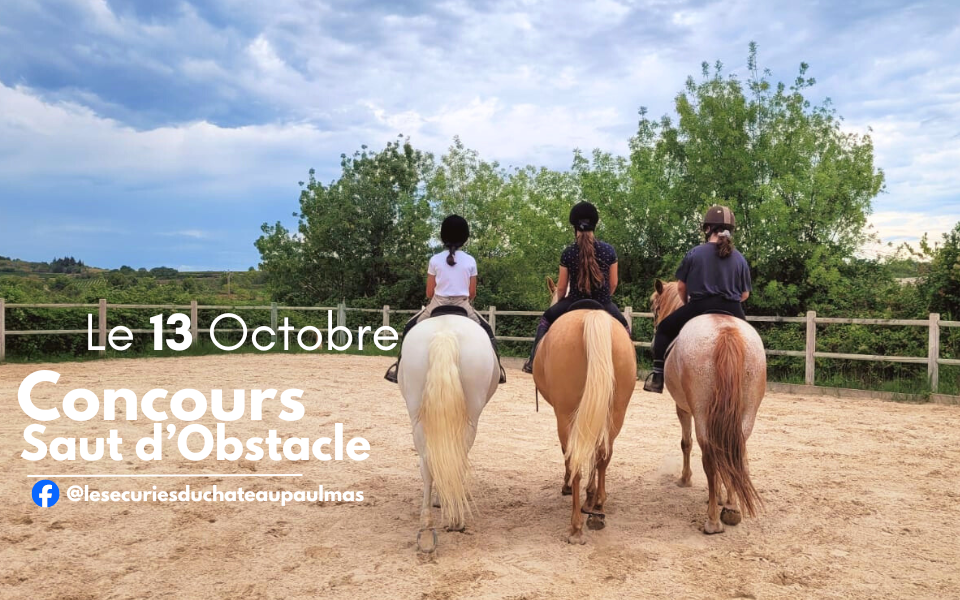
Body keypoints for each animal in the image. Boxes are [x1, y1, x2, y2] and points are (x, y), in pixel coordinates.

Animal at [400, 314, 498, 552]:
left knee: (429, 464)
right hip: (470, 420)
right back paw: (454, 519)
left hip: (417, 417)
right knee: (456, 458)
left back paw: (427, 527)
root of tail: (445, 334)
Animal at [532, 276, 636, 544]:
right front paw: (591, 496)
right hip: (616, 411)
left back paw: (576, 525)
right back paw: (597, 509)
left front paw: (570, 487)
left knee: (575, 455)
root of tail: (593, 317)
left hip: (566, 414)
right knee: (602, 454)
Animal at [652, 282, 764, 536]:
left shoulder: (683, 408)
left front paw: (686, 480)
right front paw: (723, 498)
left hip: (702, 414)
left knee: (710, 459)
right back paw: (732, 509)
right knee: (734, 451)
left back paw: (713, 521)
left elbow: (685, 443)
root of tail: (726, 332)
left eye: (654, 306)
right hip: (745, 414)